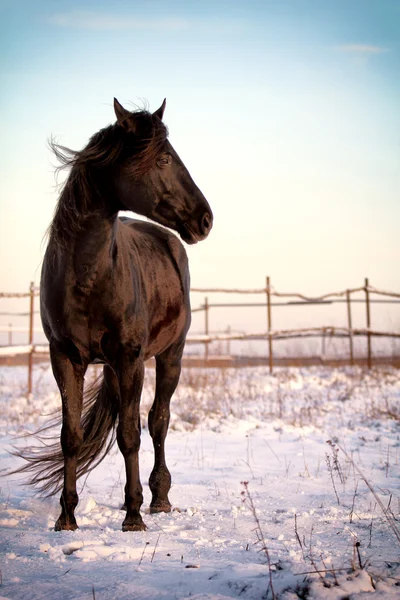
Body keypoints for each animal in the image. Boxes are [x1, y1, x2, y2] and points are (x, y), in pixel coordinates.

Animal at [19, 99, 212, 536]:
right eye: (164, 158)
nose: (205, 219)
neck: (89, 276)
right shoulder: (65, 358)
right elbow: (71, 436)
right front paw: (66, 517)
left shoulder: (130, 358)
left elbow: (130, 434)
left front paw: (134, 515)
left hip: (171, 356)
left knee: (158, 421)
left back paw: (159, 498)